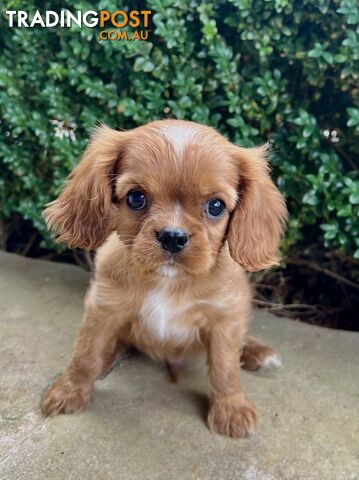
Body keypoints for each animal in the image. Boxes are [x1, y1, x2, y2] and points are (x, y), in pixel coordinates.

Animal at [42, 118, 288, 436]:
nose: (173, 236)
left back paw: (258, 352)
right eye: (136, 198)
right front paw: (68, 391)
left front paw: (231, 409)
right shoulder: (104, 307)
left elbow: (225, 367)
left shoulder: (225, 317)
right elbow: (86, 352)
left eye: (216, 206)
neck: (168, 280)